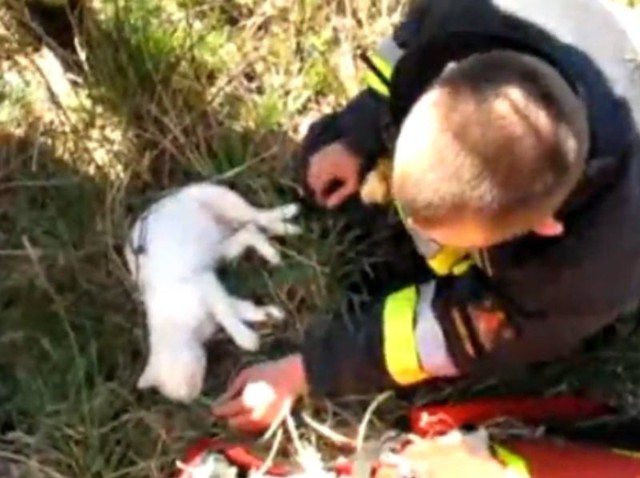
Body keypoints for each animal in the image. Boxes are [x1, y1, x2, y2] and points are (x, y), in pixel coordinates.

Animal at [125, 181, 302, 402]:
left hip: (223, 200)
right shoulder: (214, 289)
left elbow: (226, 313)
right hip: (221, 246)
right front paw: (268, 314)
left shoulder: (205, 283)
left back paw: (287, 220)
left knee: (256, 216)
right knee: (250, 230)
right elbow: (240, 308)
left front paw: (245, 339)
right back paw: (283, 235)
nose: (195, 396)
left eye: (189, 378)